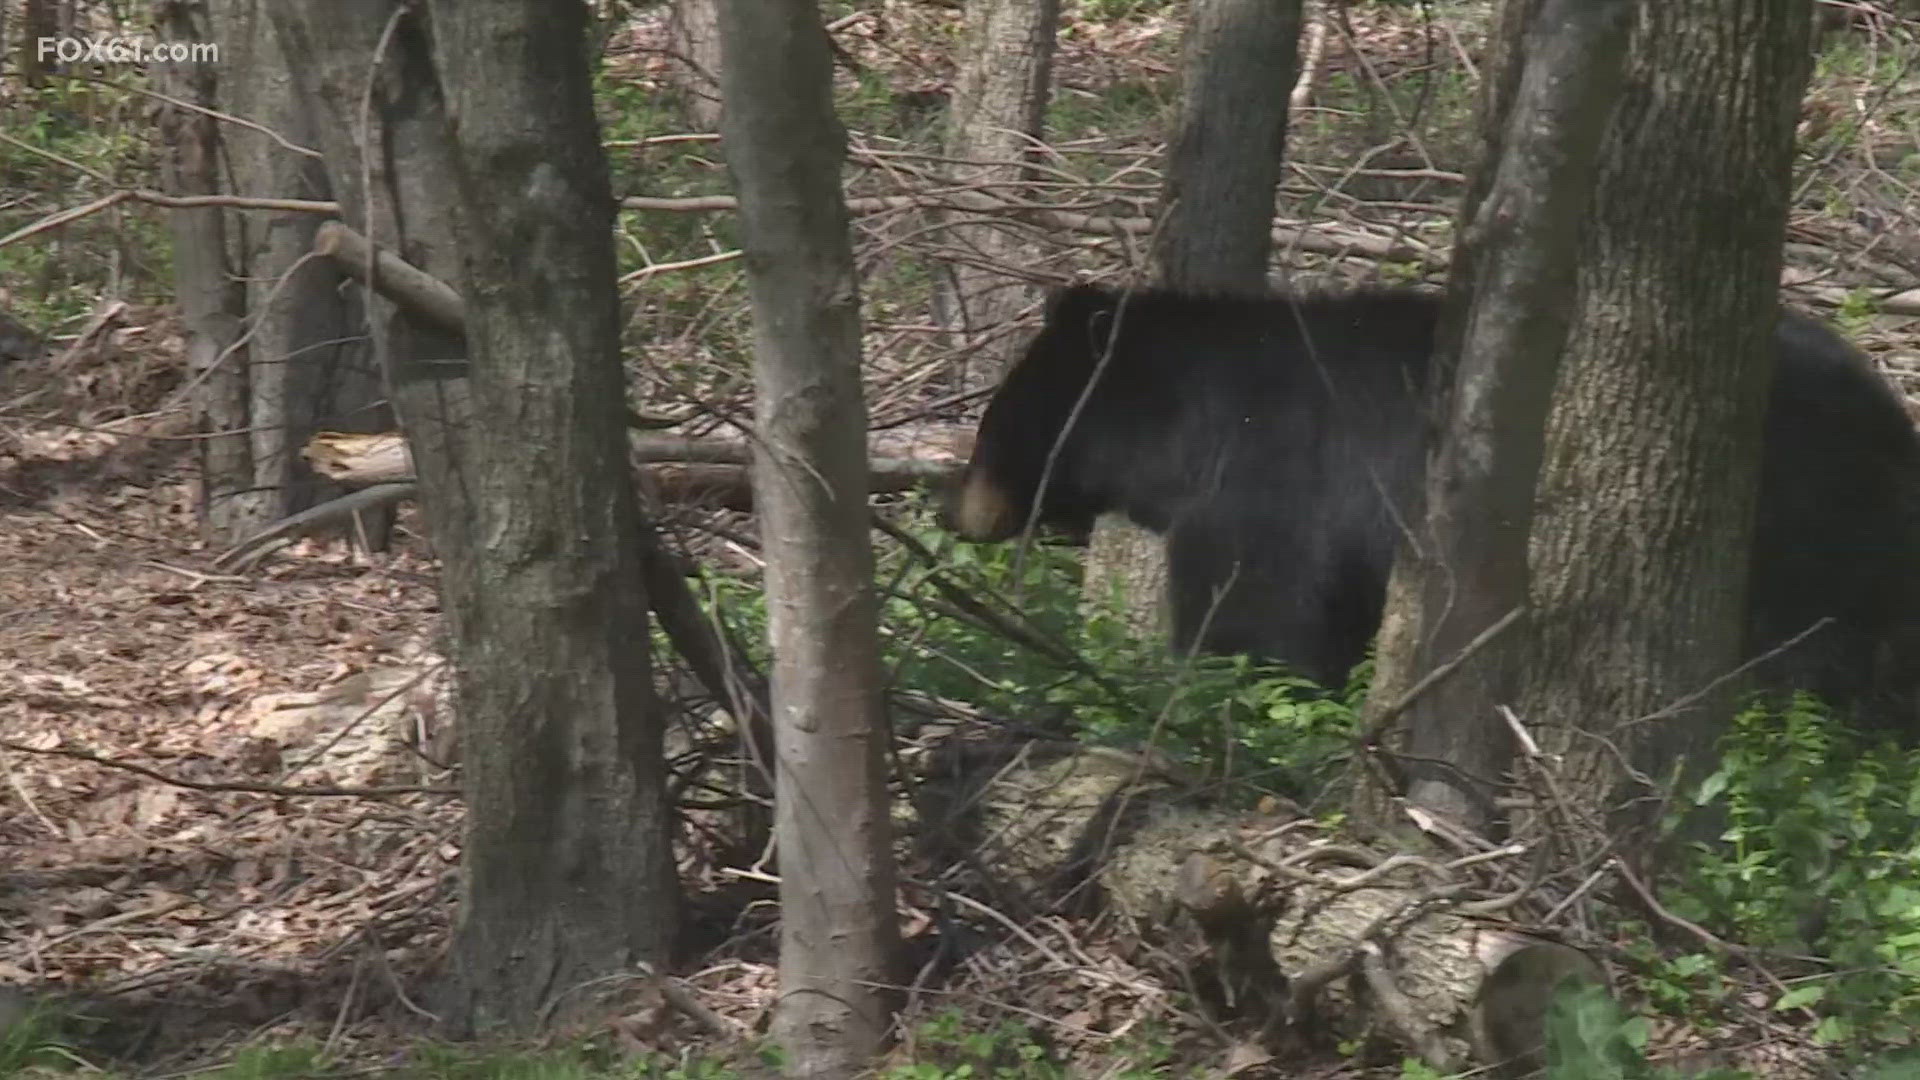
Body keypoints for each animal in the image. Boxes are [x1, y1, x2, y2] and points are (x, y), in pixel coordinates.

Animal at [944, 282, 1920, 726]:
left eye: (994, 423)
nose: (964, 512)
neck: (1187, 420)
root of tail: (1890, 415)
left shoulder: (1266, 484)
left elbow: (1257, 615)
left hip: (1806, 526)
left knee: (1813, 654)